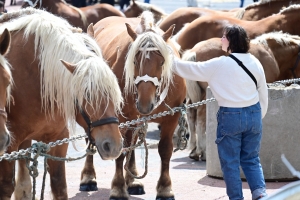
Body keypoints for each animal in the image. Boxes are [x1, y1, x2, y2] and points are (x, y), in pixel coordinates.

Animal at [0, 7, 123, 199]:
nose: (114, 145)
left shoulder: (58, 141)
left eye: (114, 92)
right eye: (88, 94)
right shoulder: (8, 148)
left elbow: (59, 186)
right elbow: (5, 186)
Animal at [79, 10, 185, 200]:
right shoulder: (117, 119)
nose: (144, 103)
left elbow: (165, 150)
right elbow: (120, 150)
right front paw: (118, 188)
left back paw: (133, 180)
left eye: (162, 62)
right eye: (134, 62)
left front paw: (165, 188)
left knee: (133, 142)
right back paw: (89, 177)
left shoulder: (172, 116)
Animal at [184, 32, 300, 162]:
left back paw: (194, 150)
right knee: (200, 118)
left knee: (191, 114)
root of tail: (194, 51)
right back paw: (202, 151)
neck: (271, 52)